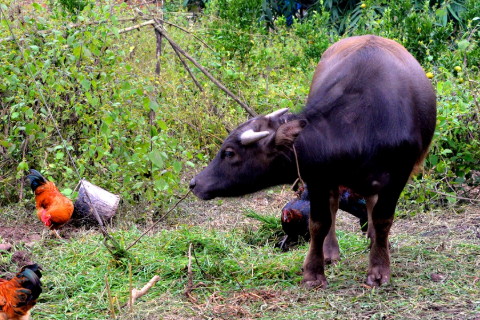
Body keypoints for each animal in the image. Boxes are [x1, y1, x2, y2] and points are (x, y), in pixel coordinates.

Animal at [189, 35, 436, 288]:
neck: (361, 127)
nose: (194, 183)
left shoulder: (398, 177)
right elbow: (319, 223)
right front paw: (314, 273)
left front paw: (378, 270)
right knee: (336, 207)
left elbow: (383, 219)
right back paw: (332, 251)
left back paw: (375, 240)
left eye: (229, 153)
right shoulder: (318, 178)